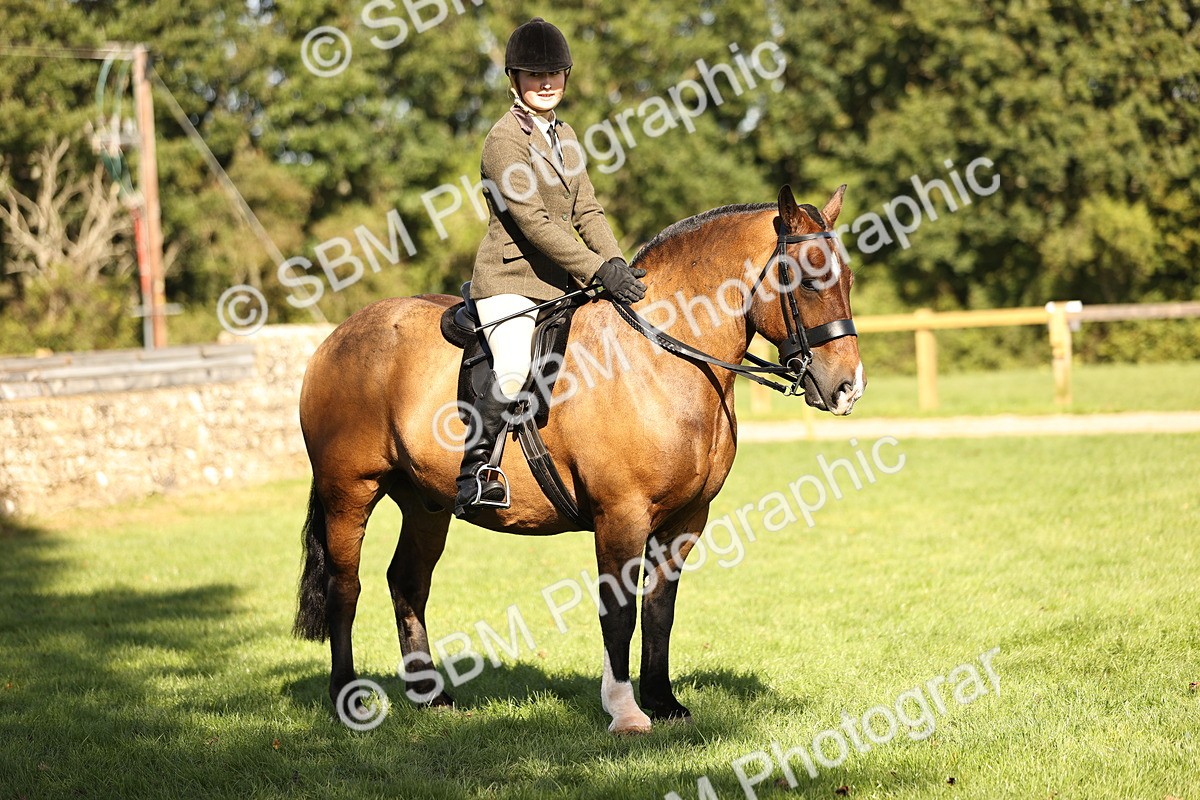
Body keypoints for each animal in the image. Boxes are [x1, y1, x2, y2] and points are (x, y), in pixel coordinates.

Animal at [292, 184, 864, 734]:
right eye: (808, 281)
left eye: (849, 278)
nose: (848, 388)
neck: (658, 359)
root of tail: (336, 337)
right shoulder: (622, 516)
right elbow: (619, 613)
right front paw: (626, 712)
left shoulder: (685, 521)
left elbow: (659, 610)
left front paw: (664, 702)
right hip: (350, 493)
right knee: (346, 587)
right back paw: (348, 700)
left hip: (425, 505)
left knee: (408, 583)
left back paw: (431, 697)